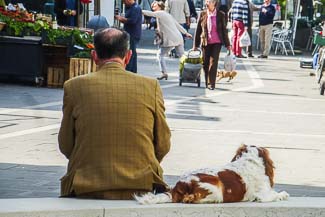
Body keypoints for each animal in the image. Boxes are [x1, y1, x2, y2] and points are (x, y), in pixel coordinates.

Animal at [134, 145, 288, 204]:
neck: (249, 159)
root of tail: (180, 185)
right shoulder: (263, 195)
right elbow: (276, 194)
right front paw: (283, 194)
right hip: (216, 192)